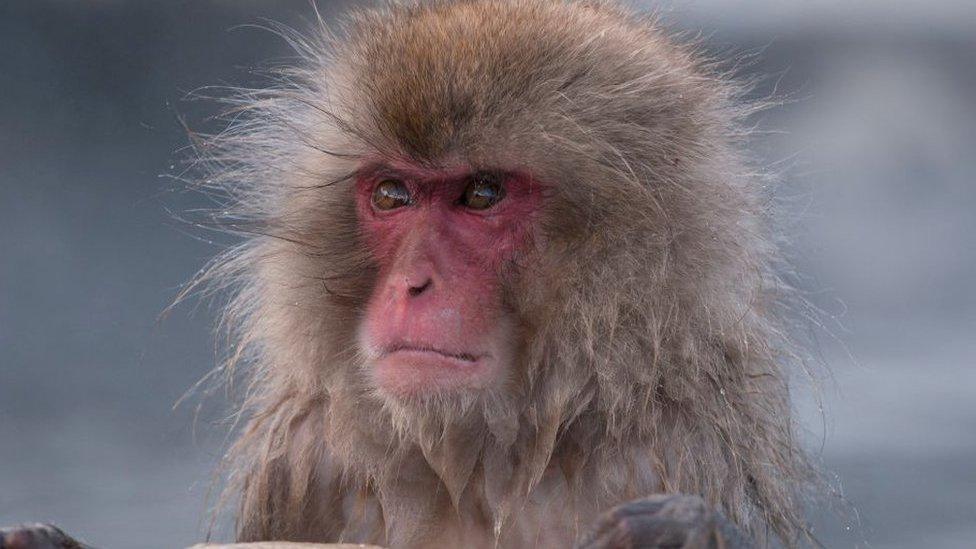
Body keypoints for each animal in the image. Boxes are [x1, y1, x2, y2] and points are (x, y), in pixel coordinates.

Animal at [3, 1, 820, 548]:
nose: (412, 285)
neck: (483, 462)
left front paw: (685, 528)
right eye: (393, 194)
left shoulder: (664, 449)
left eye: (481, 194)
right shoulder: (312, 456)